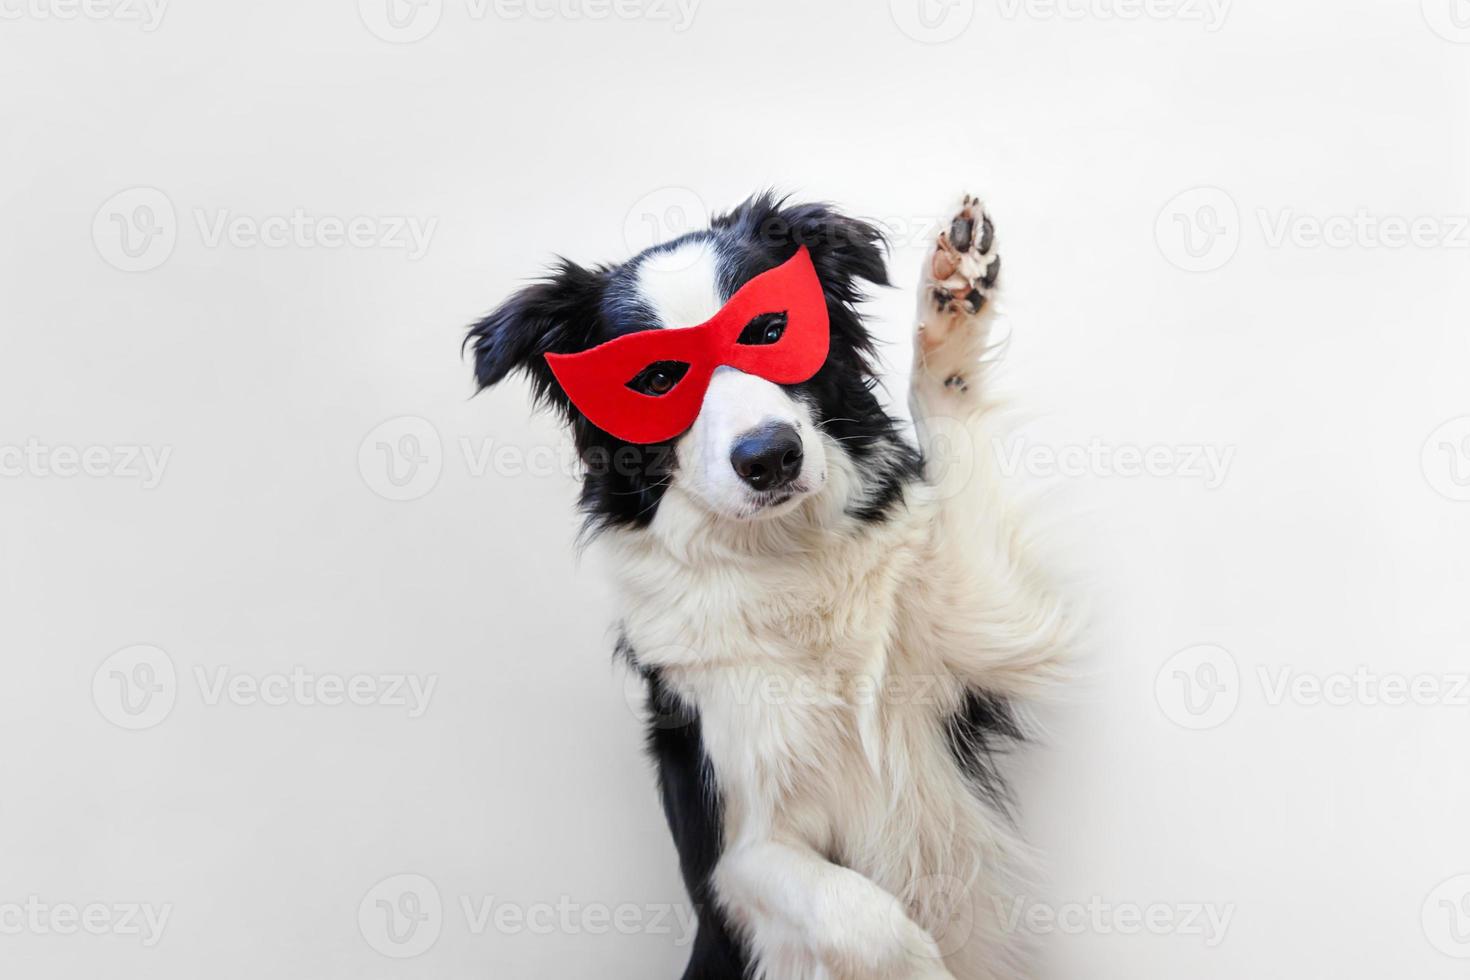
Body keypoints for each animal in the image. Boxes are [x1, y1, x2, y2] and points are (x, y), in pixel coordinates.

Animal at [467, 193, 1070, 980]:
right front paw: (924, 966)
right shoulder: (735, 851)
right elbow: (866, 917)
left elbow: (952, 429)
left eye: (770, 331)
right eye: (656, 381)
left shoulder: (988, 620)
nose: (769, 457)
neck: (787, 557)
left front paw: (952, 295)